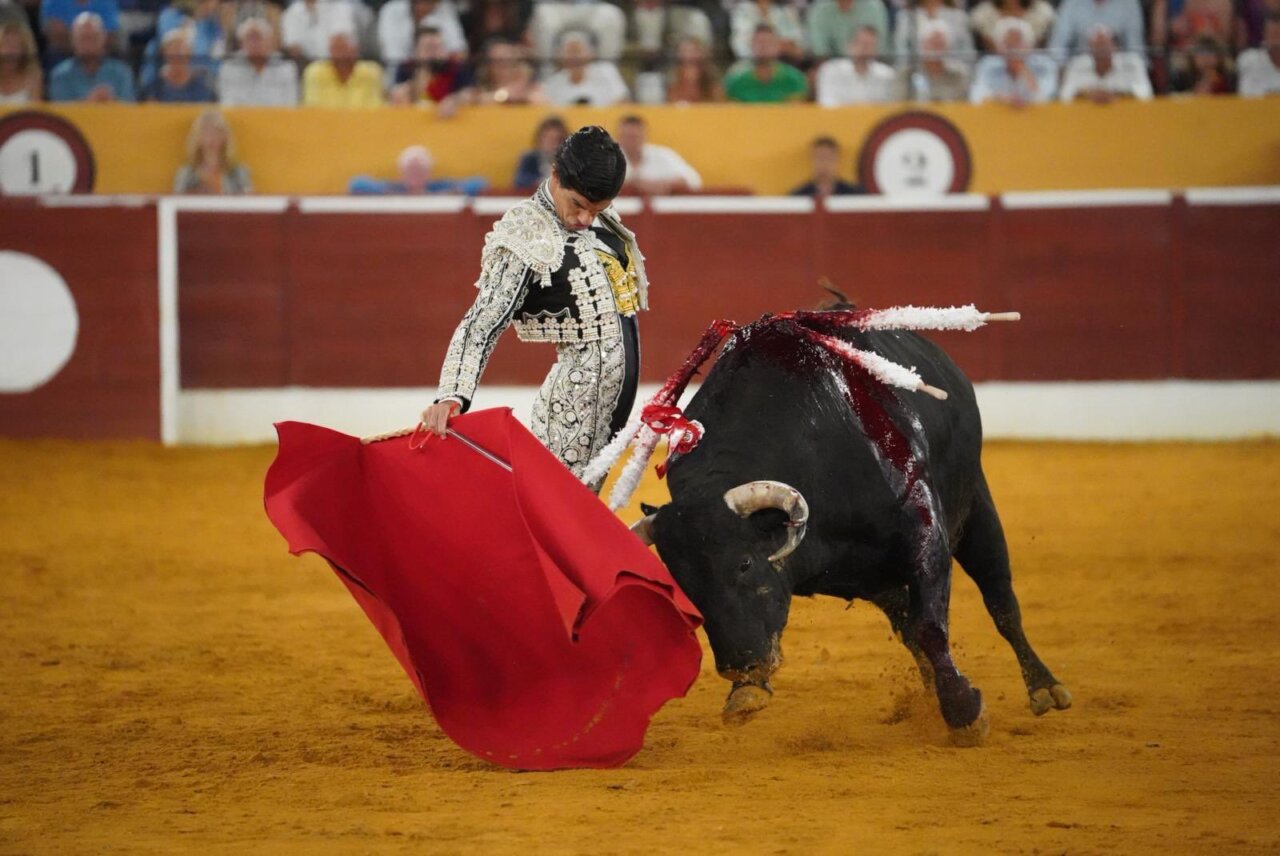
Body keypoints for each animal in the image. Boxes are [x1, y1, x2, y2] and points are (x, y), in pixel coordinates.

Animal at [633, 302, 1071, 744]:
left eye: (743, 563)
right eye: (682, 582)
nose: (740, 666)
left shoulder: (926, 538)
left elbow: (932, 626)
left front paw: (964, 712)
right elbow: (913, 630)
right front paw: (747, 691)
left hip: (976, 507)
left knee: (1001, 601)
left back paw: (1044, 688)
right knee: (911, 625)